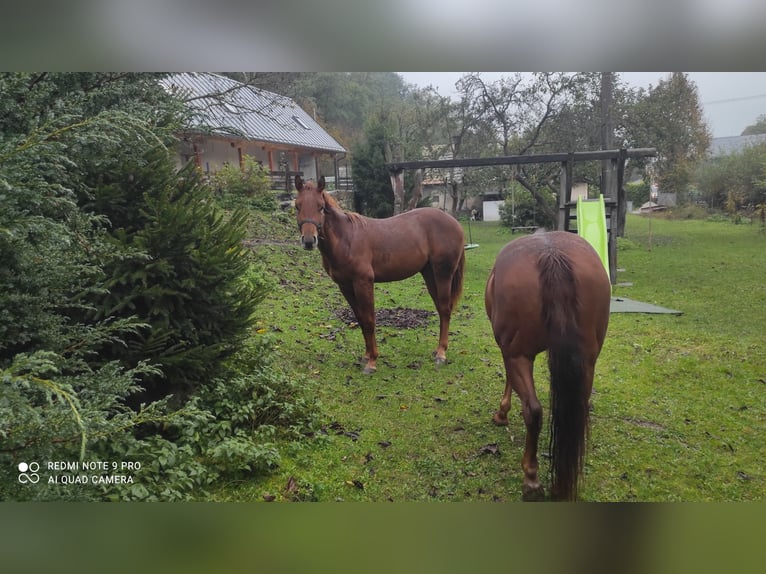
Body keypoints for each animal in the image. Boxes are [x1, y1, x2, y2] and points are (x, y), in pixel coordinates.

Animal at [294, 176, 464, 374]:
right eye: (297, 206)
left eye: (320, 207)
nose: (308, 241)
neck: (346, 239)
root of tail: (454, 223)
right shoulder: (345, 286)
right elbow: (360, 319)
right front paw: (367, 355)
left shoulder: (363, 282)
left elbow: (369, 320)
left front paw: (372, 361)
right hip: (429, 274)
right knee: (440, 308)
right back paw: (437, 350)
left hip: (443, 274)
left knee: (445, 309)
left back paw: (441, 354)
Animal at [486, 232, 612, 502]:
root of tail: (552, 256)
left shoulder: (510, 352)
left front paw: (502, 413)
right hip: (587, 359)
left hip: (518, 355)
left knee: (533, 411)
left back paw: (531, 480)